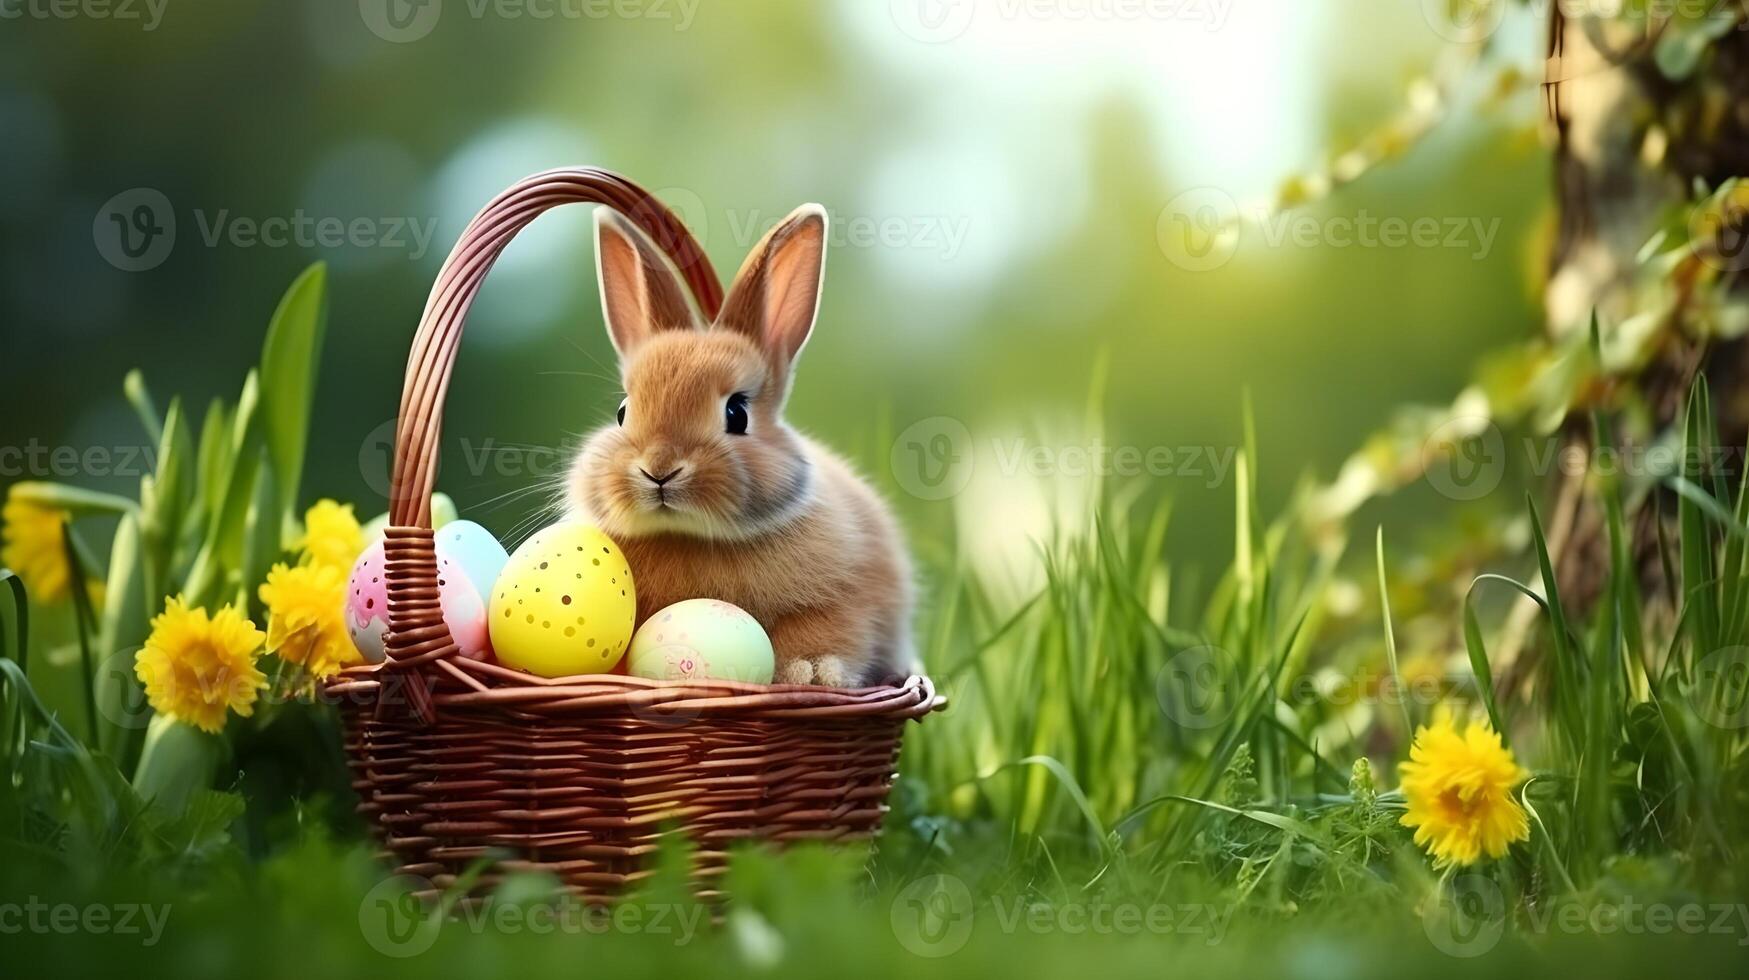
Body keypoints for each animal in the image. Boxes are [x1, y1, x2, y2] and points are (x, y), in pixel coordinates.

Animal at [563, 202, 923, 686]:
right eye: (623, 412)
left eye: (737, 413)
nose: (659, 469)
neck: (689, 536)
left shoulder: (843, 601)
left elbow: (825, 630)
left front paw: (811, 673)